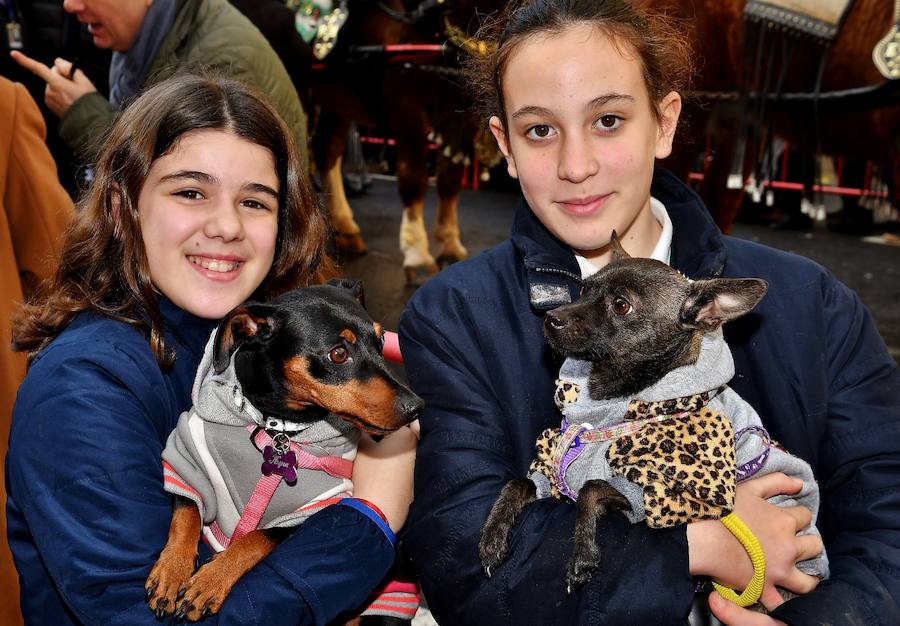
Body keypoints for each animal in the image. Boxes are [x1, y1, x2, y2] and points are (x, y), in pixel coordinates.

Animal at [146, 282, 424, 620]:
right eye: (338, 353)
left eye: (382, 340)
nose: (416, 407)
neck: (275, 427)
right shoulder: (189, 460)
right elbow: (187, 512)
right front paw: (171, 571)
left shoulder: (311, 510)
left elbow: (254, 538)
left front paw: (211, 580)